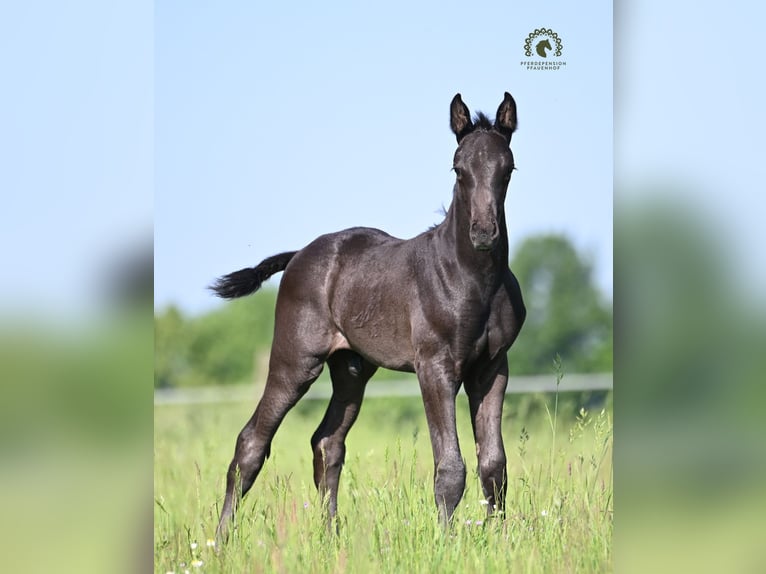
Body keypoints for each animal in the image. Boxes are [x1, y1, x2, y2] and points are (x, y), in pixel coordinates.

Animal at [212, 92, 526, 540]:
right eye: (458, 168)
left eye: (507, 169)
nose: (483, 233)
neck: (473, 278)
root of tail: (299, 255)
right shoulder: (435, 367)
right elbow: (450, 467)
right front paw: (447, 544)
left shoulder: (492, 368)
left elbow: (494, 465)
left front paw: (499, 541)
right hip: (296, 361)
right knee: (251, 441)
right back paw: (220, 541)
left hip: (352, 368)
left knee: (327, 442)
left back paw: (330, 537)